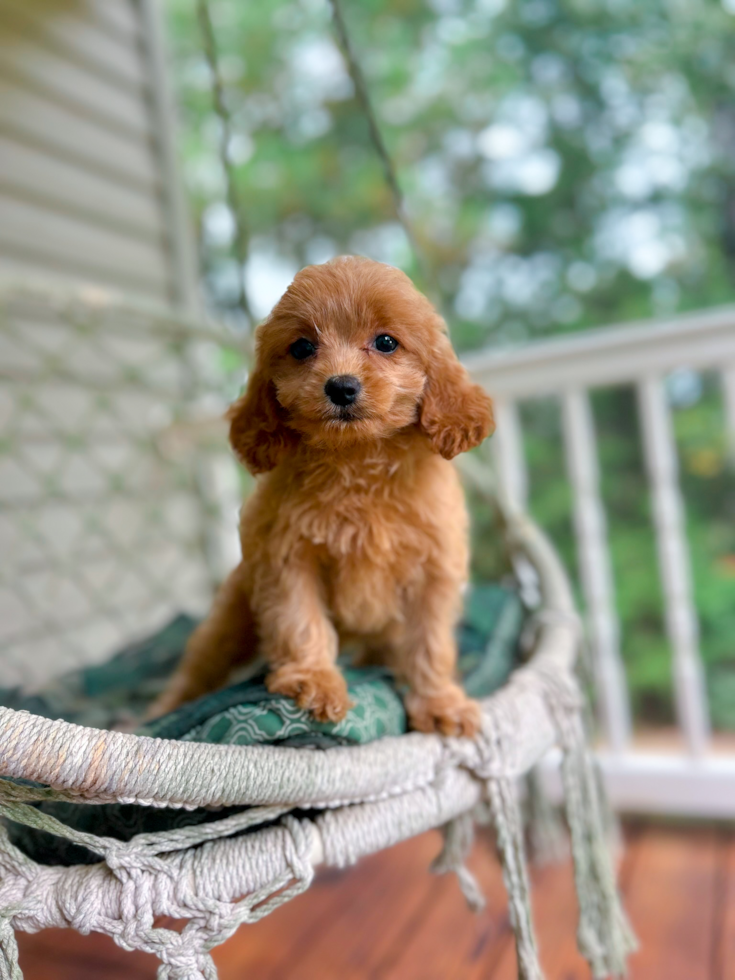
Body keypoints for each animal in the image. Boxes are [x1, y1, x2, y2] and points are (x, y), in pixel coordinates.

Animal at [155, 256, 494, 740]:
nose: (341, 387)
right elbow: (300, 619)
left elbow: (430, 643)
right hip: (229, 620)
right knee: (197, 671)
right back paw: (160, 712)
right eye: (301, 348)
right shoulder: (287, 555)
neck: (357, 459)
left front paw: (439, 702)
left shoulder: (433, 568)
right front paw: (314, 680)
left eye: (386, 342)